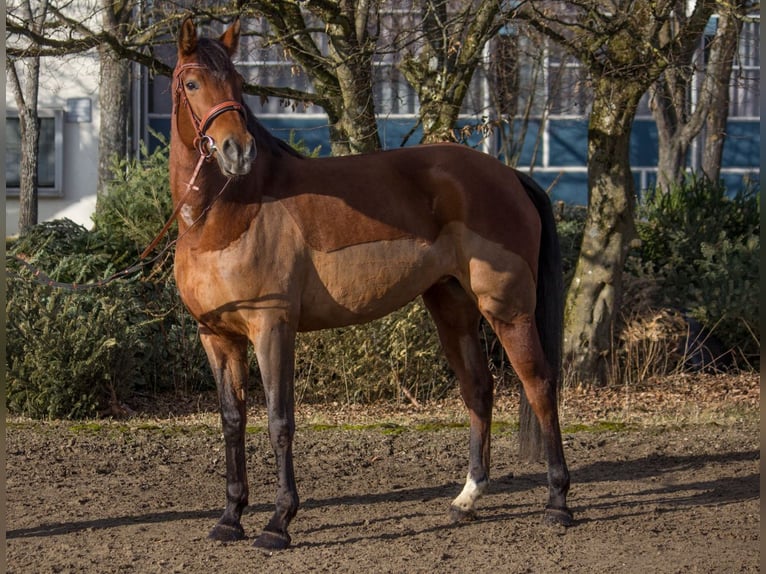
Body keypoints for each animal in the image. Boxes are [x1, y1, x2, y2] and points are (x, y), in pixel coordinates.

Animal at [171, 15, 572, 552]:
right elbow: (232, 421)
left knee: (539, 385)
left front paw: (278, 523)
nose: (238, 151)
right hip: (452, 306)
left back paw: (557, 503)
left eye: (236, 81)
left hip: (507, 308)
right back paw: (467, 499)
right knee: (478, 387)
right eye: (193, 83)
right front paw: (230, 518)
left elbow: (279, 421)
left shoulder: (272, 330)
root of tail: (507, 174)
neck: (229, 214)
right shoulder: (217, 337)